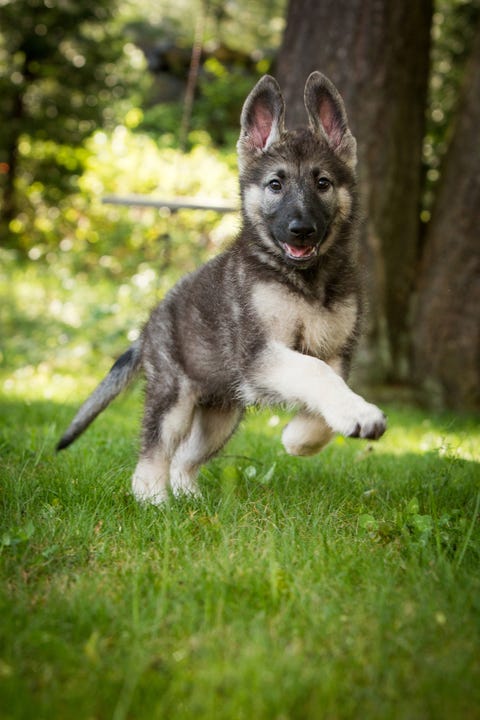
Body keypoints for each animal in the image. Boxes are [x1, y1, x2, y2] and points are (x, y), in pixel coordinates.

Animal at [57, 71, 386, 500]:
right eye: (276, 184)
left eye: (323, 182)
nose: (301, 230)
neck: (305, 280)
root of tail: (148, 327)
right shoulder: (260, 354)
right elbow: (314, 373)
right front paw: (358, 415)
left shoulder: (335, 352)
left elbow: (325, 389)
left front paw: (300, 439)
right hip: (175, 398)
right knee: (155, 451)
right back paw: (154, 501)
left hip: (222, 412)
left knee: (184, 459)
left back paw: (191, 501)